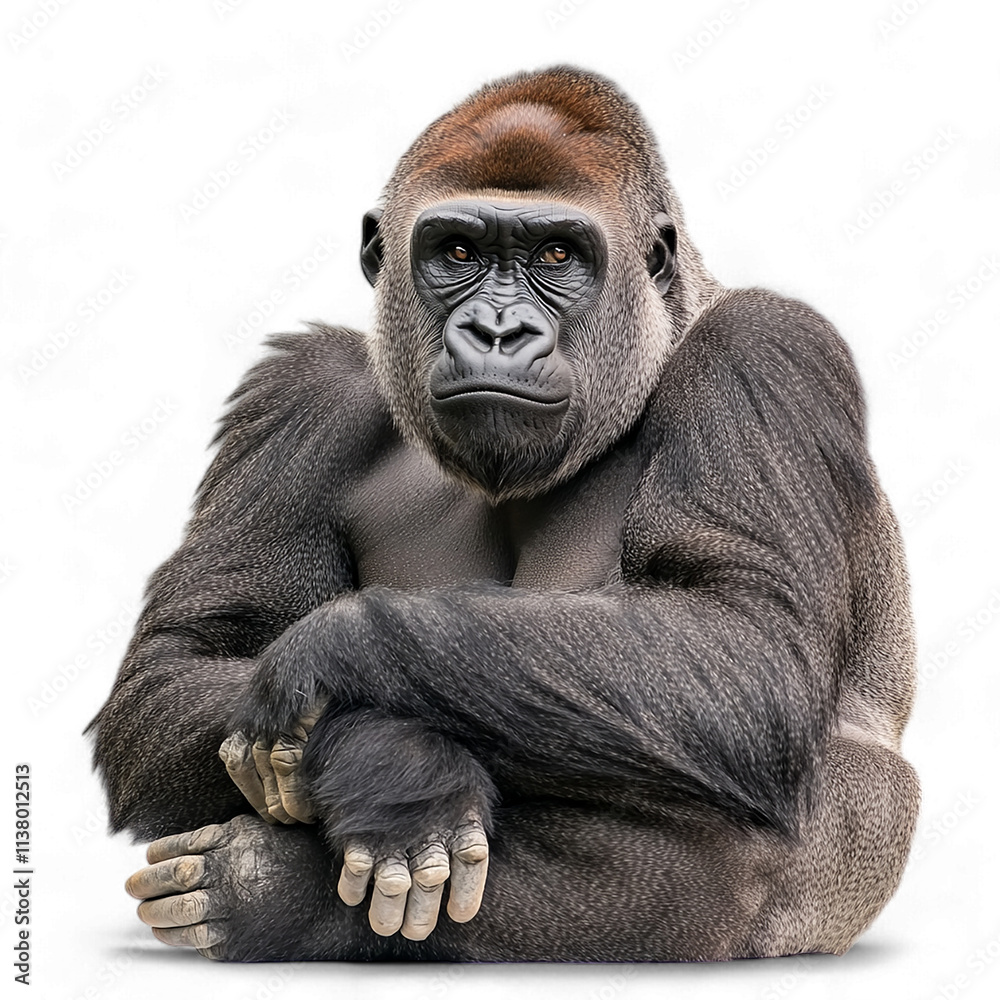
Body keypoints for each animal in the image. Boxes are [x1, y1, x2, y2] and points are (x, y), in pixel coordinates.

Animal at [90, 66, 919, 962]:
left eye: (558, 254)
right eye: (457, 251)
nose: (497, 329)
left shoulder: (765, 350)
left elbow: (744, 652)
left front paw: (340, 680)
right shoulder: (302, 395)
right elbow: (179, 662)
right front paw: (394, 765)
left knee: (729, 851)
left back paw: (271, 893)